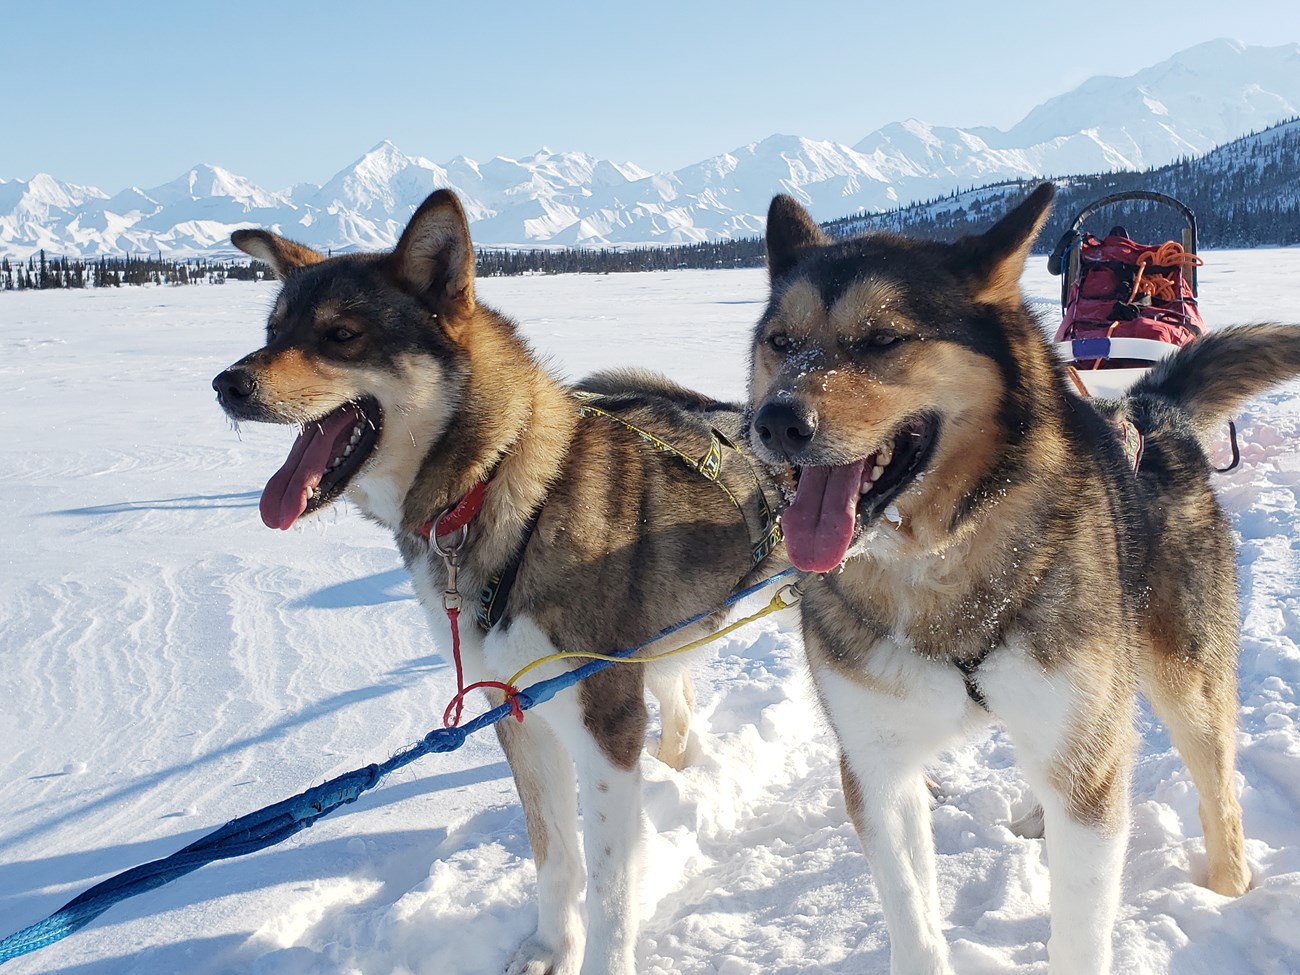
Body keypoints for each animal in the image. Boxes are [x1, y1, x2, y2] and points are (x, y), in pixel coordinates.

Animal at [748, 182, 1300, 972]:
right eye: (782, 343)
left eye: (884, 339)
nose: (775, 421)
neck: (938, 562)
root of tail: (1149, 410)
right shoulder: (879, 770)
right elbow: (913, 920)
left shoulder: (1089, 781)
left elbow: (1080, 929)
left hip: (1182, 681)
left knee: (1214, 788)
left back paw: (1227, 889)